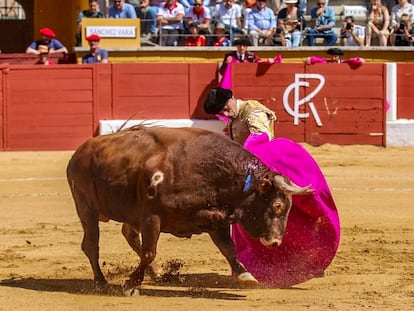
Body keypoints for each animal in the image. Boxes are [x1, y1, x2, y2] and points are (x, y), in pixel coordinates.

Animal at [66, 126, 312, 294]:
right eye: (277, 205)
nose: (275, 242)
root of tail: (78, 153)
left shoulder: (215, 219)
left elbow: (228, 249)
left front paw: (245, 274)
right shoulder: (151, 217)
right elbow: (149, 251)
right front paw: (130, 284)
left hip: (127, 212)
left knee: (128, 235)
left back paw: (156, 273)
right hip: (85, 207)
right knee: (91, 245)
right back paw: (101, 282)